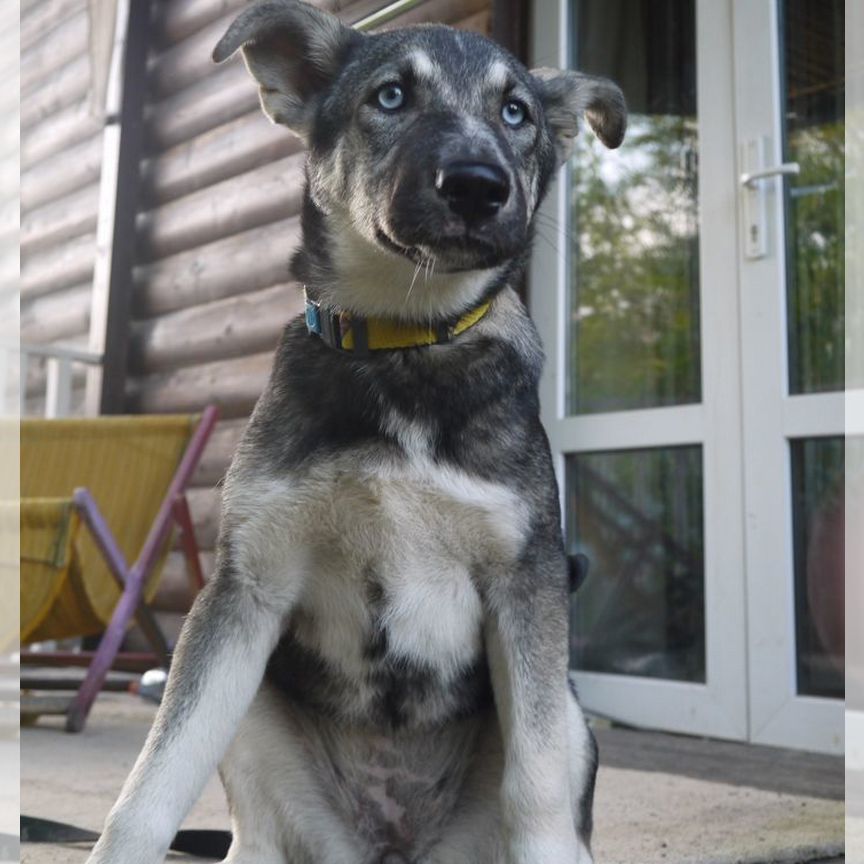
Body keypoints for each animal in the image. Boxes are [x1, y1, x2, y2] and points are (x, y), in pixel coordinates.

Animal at [84, 3, 624, 860]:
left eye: (517, 114)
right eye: (391, 95)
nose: (478, 187)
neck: (402, 341)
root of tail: (390, 843)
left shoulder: (528, 580)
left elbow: (533, 787)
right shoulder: (245, 586)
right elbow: (154, 781)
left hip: (569, 717)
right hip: (256, 714)